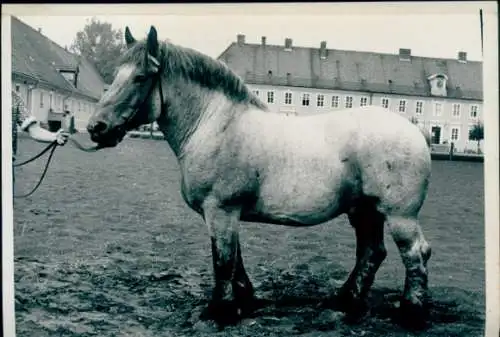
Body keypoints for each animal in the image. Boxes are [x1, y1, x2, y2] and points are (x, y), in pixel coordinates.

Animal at [89, 25, 434, 328]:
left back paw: (411, 312)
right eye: (115, 75)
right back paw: (345, 301)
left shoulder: (221, 210)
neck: (215, 125)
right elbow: (235, 260)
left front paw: (221, 312)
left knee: (415, 254)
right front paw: (245, 302)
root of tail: (415, 132)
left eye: (140, 77)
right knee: (371, 253)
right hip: (364, 211)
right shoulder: (225, 215)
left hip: (399, 216)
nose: (96, 127)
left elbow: (223, 261)